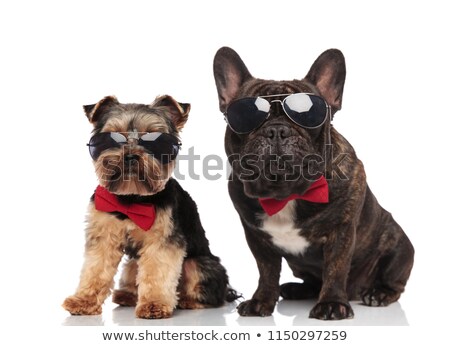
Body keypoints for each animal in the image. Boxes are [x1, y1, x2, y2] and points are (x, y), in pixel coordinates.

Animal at [62, 94, 236, 318]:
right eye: (112, 137)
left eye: (155, 140)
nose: (130, 155)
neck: (131, 199)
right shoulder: (103, 236)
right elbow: (95, 269)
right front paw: (84, 300)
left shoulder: (163, 240)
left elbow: (157, 271)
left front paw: (154, 304)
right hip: (133, 262)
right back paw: (127, 295)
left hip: (198, 264)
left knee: (209, 292)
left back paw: (187, 300)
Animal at [213, 47, 414, 320]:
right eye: (246, 116)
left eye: (308, 116)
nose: (277, 130)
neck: (285, 194)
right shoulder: (256, 237)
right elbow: (266, 271)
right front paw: (261, 301)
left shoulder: (341, 231)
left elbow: (335, 269)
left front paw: (331, 304)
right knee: (311, 281)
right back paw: (295, 289)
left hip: (398, 244)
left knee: (394, 281)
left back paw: (378, 293)